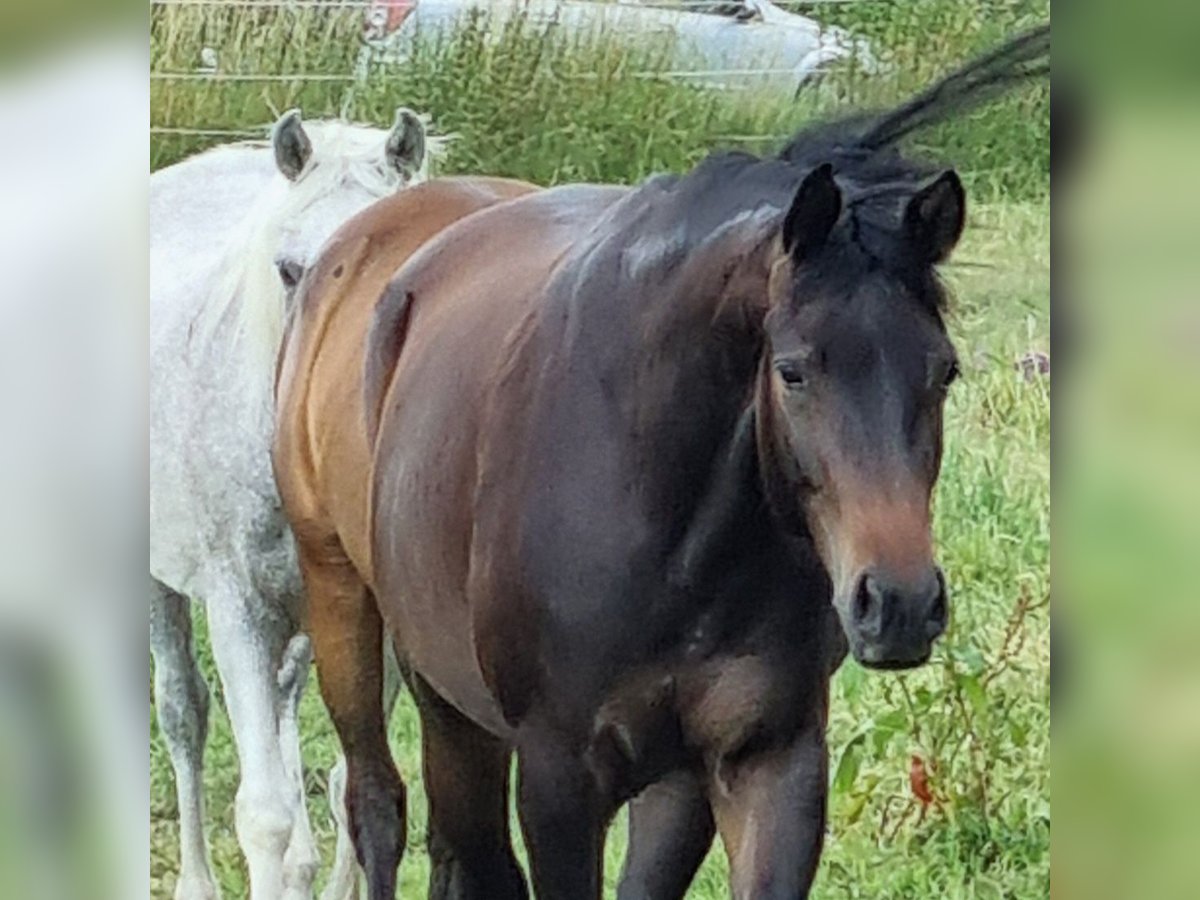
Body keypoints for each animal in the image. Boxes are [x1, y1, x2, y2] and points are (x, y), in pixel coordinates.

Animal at [148, 107, 432, 900]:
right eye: (288, 270)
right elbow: (265, 813)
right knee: (183, 713)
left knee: (283, 699)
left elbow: (352, 784)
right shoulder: (238, 609)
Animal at [276, 26, 1046, 900]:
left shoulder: (761, 760)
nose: (900, 603)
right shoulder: (559, 779)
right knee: (382, 807)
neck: (666, 526)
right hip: (364, 621)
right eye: (793, 371)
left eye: (943, 370)